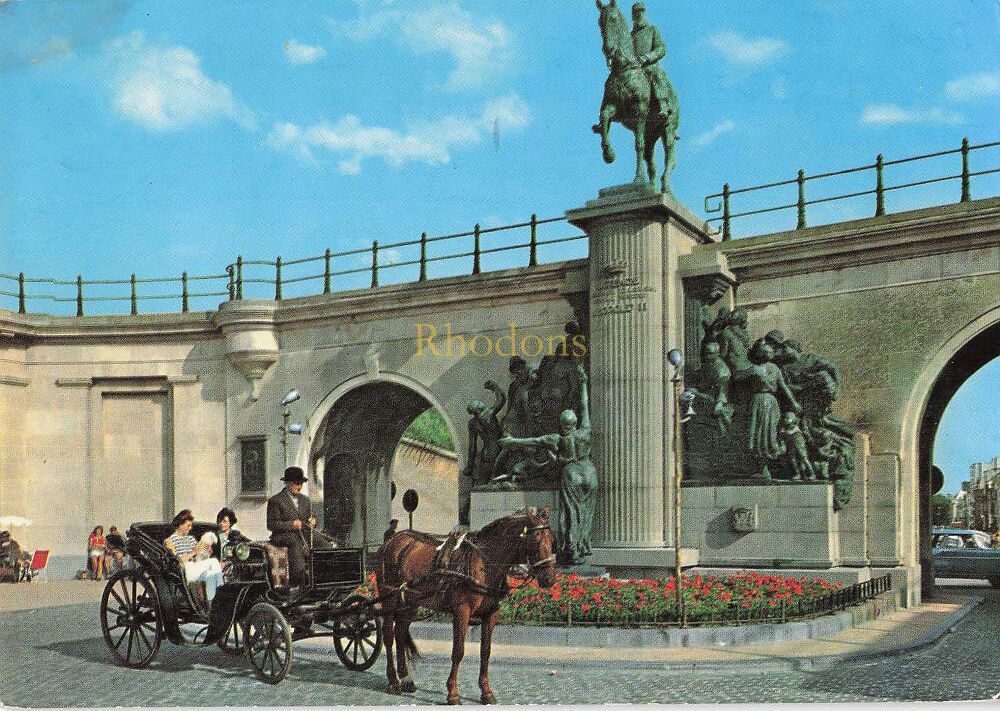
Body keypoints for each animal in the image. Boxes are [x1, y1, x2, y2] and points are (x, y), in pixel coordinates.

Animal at [378, 508, 560, 704]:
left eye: (552, 541)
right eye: (535, 540)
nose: (549, 579)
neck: (485, 564)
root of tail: (392, 540)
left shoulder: (491, 614)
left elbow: (485, 652)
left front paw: (486, 692)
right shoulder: (462, 611)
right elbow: (458, 651)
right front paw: (453, 693)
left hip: (410, 603)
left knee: (400, 633)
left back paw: (406, 679)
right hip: (389, 599)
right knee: (389, 637)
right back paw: (393, 682)